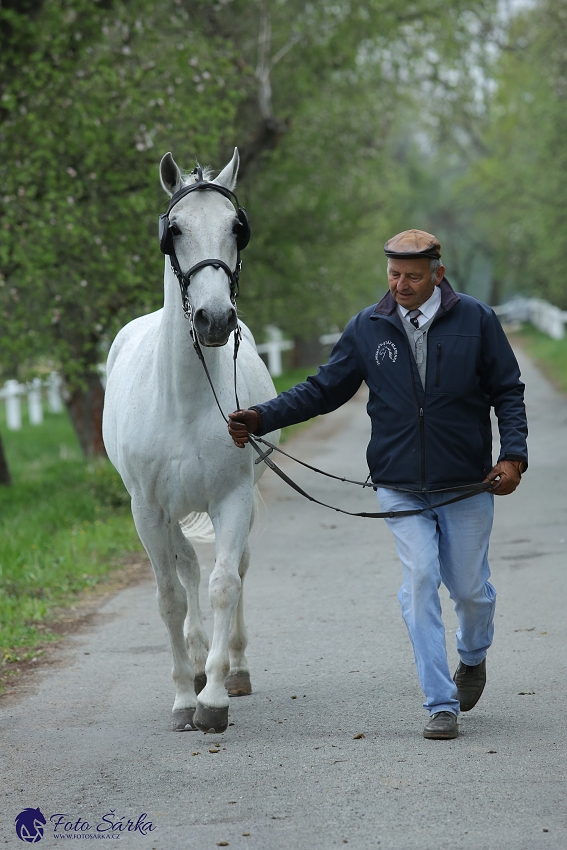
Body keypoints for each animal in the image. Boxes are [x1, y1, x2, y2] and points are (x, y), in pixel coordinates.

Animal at [103, 149, 280, 732]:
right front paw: (185, 696)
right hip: (167, 513)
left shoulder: (232, 499)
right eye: (173, 230)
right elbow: (169, 599)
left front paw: (216, 699)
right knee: (185, 568)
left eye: (236, 228)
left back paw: (232, 668)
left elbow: (225, 585)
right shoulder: (148, 511)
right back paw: (200, 662)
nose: (215, 319)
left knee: (233, 568)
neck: (182, 398)